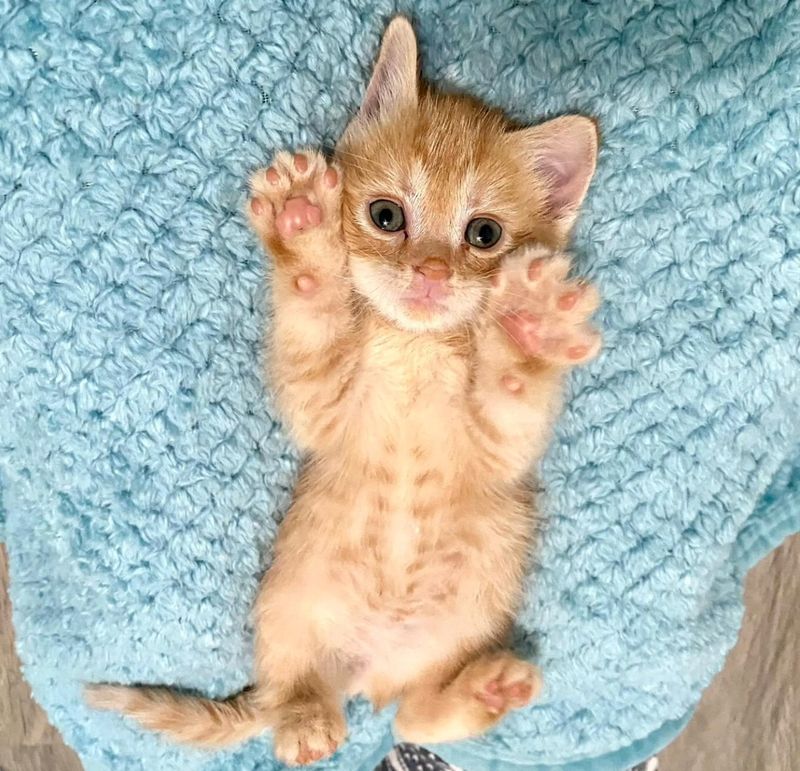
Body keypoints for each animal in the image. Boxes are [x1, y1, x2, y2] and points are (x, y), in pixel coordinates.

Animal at [87, 15, 600, 768]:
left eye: (483, 234)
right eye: (387, 216)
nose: (430, 272)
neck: (415, 347)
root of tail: (369, 671)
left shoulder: (502, 446)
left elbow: (511, 399)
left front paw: (530, 326)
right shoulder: (321, 405)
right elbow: (313, 330)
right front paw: (303, 231)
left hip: (465, 624)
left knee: (415, 716)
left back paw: (483, 690)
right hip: (289, 607)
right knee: (298, 697)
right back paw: (306, 718)